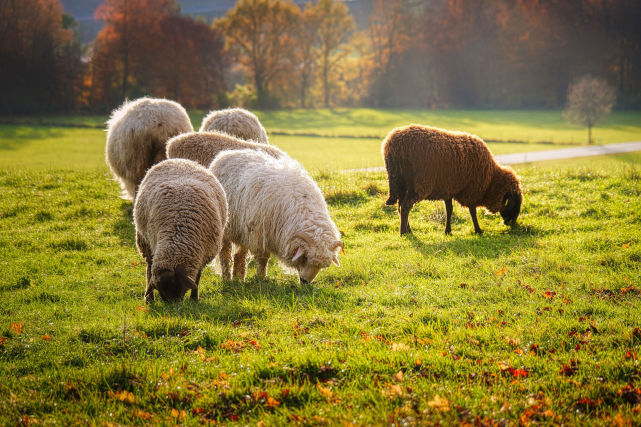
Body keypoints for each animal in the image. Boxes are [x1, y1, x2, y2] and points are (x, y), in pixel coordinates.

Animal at [132, 159, 228, 302]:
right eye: (162, 292)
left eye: (177, 287)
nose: (174, 305)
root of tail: (179, 160)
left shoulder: (202, 256)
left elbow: (197, 278)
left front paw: (194, 299)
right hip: (144, 241)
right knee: (149, 267)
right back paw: (149, 298)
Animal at [210, 150, 342, 284]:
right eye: (305, 258)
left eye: (322, 266)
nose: (305, 281)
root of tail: (225, 154)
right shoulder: (260, 235)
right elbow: (263, 258)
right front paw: (261, 277)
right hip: (227, 228)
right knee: (225, 253)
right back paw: (227, 277)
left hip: (243, 229)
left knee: (239, 254)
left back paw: (239, 277)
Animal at [380, 123, 520, 237]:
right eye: (515, 203)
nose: (512, 224)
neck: (491, 180)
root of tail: (391, 145)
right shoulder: (471, 190)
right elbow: (472, 211)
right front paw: (478, 230)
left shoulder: (448, 189)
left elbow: (449, 210)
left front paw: (448, 231)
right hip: (418, 184)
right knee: (405, 206)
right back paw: (403, 233)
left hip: (401, 183)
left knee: (400, 206)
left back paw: (408, 230)